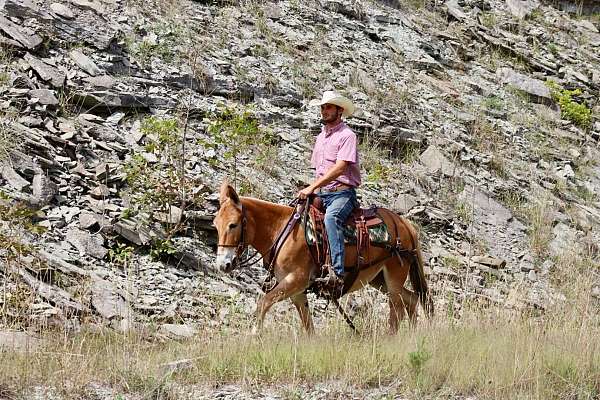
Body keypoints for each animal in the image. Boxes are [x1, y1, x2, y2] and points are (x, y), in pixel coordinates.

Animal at [213, 182, 434, 334]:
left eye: (233, 224)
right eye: (215, 225)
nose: (223, 264)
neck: (282, 230)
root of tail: (405, 224)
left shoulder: (296, 280)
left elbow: (263, 303)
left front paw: (254, 335)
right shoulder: (296, 291)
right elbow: (308, 325)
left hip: (394, 275)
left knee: (397, 308)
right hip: (379, 279)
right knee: (412, 299)